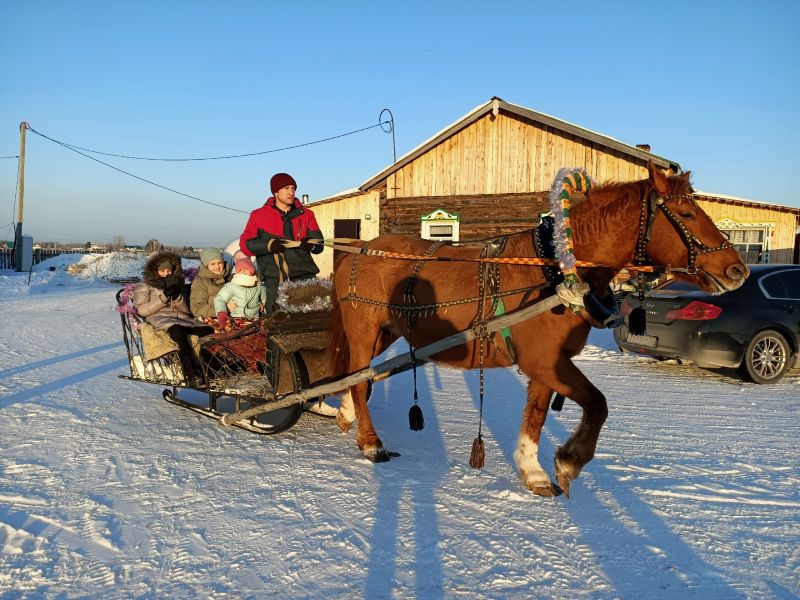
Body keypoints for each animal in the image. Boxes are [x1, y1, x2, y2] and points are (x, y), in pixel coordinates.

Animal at [326, 161, 752, 496]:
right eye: (687, 214)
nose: (738, 270)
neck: (557, 269)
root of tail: (358, 251)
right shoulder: (545, 361)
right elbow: (598, 404)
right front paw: (569, 460)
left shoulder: (548, 364)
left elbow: (537, 415)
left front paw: (533, 472)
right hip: (365, 332)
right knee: (358, 380)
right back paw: (371, 442)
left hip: (385, 333)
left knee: (357, 378)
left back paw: (346, 415)